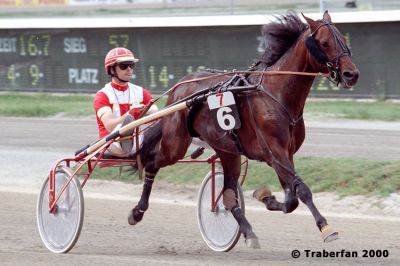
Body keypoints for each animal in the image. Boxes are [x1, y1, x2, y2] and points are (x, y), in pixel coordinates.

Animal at [129, 10, 360, 247]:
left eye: (343, 39)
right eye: (324, 43)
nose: (351, 74)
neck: (276, 94)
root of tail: (179, 88)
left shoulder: (285, 154)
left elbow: (291, 199)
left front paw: (265, 196)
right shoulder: (275, 152)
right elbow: (302, 191)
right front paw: (326, 227)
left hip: (227, 150)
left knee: (229, 196)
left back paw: (248, 232)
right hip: (175, 144)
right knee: (152, 162)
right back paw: (137, 211)